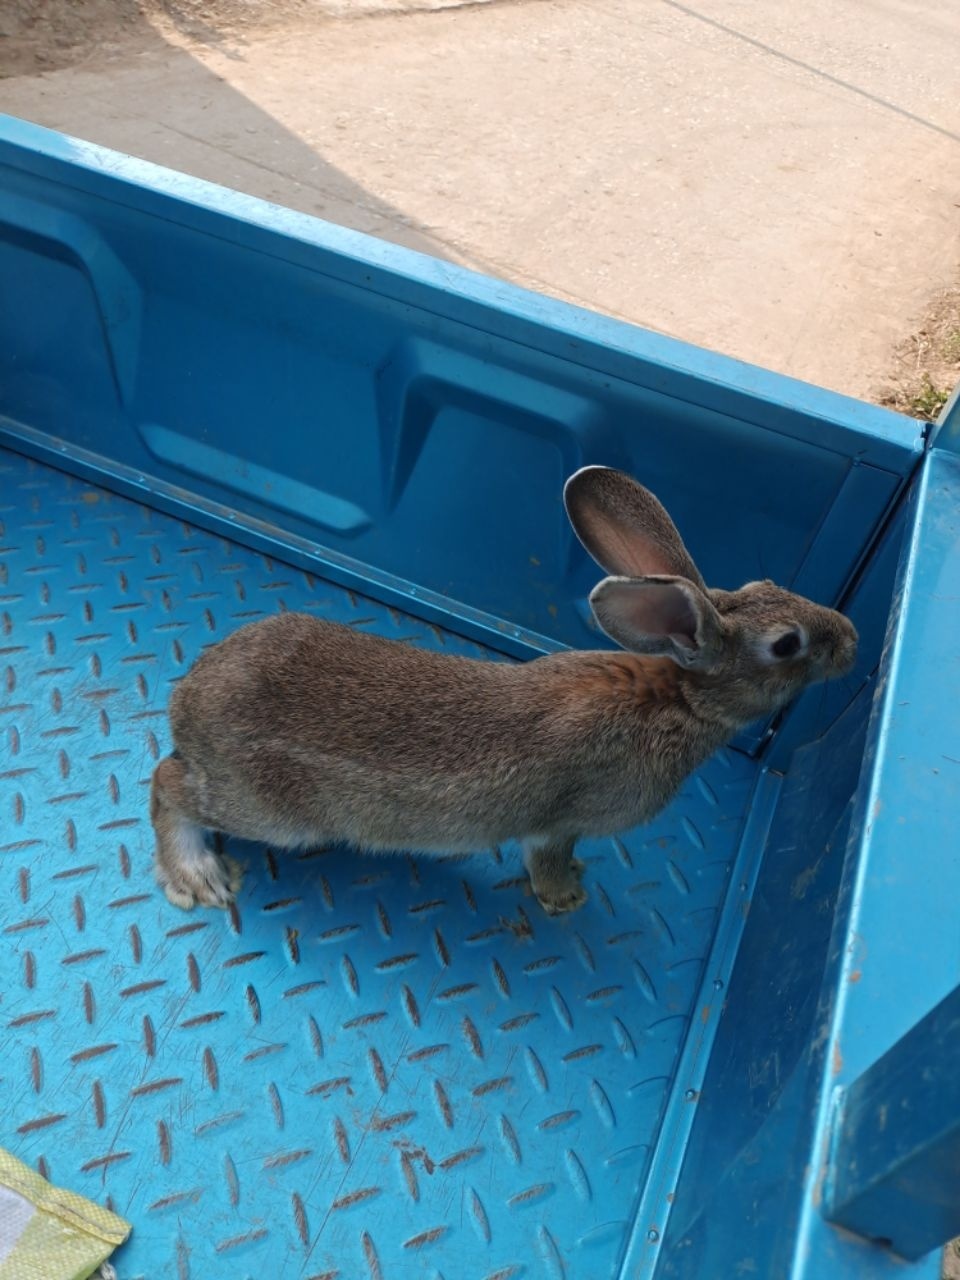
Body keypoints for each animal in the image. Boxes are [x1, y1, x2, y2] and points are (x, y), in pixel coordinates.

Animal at [152, 465, 865, 916]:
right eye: (788, 645)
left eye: (763, 584)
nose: (854, 641)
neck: (679, 698)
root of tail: (184, 709)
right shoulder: (561, 823)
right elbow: (548, 858)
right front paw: (566, 896)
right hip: (271, 810)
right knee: (167, 786)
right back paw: (197, 877)